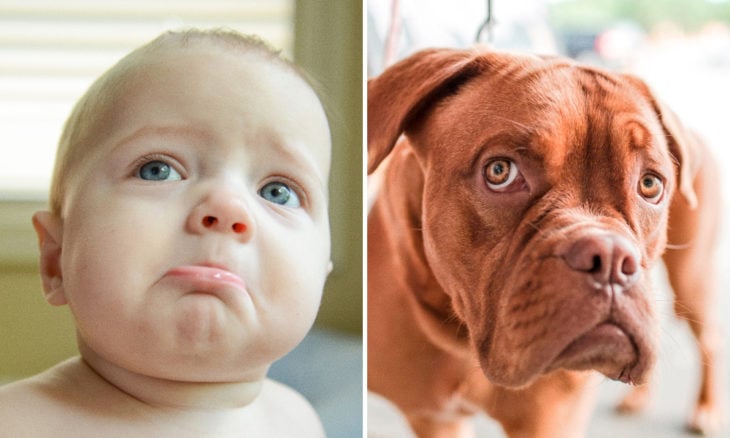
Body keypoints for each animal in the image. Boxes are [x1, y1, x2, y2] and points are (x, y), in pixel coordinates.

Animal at [370, 48, 724, 438]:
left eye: (650, 185)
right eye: (500, 171)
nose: (610, 257)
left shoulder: (551, 420)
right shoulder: (436, 419)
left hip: (692, 277)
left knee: (709, 339)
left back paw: (706, 409)